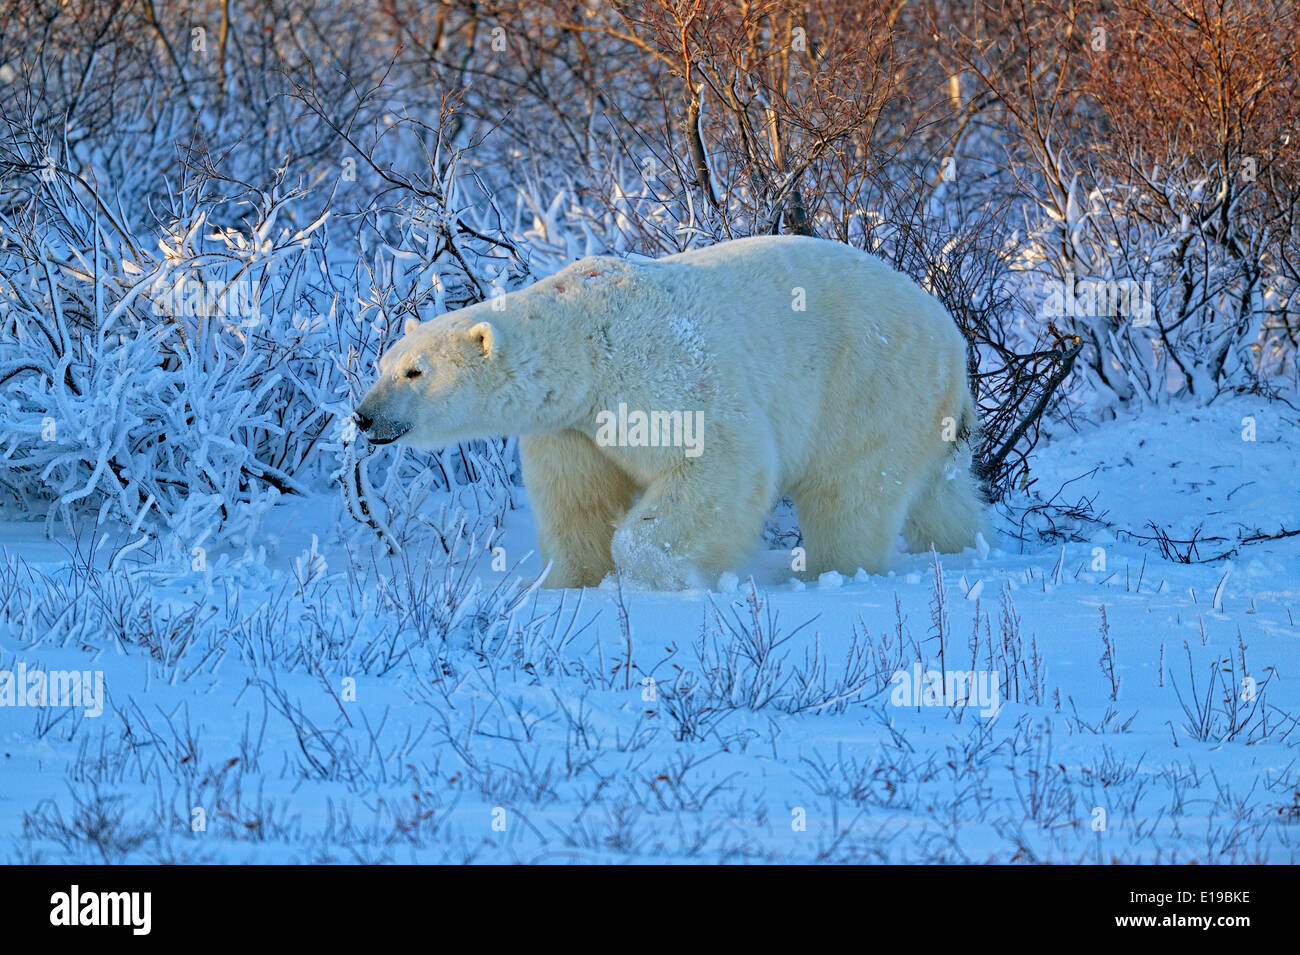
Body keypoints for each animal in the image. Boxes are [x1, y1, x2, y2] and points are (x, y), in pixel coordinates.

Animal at [353, 234, 986, 590]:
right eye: (382, 365)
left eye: (415, 372)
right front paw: (569, 585)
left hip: (868, 384)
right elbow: (578, 501)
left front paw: (660, 577)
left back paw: (824, 572)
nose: (364, 417)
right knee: (940, 492)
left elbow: (718, 460)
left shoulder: (660, 374)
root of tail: (952, 337)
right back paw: (961, 546)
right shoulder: (570, 428)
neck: (587, 341)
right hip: (918, 410)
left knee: (850, 493)